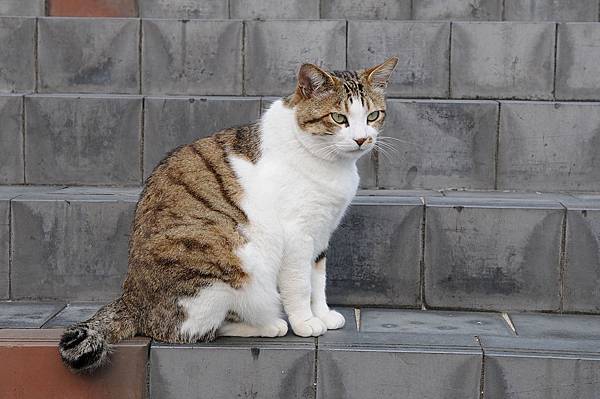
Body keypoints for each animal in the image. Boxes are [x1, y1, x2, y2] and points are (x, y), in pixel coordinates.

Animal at [59, 57, 398, 374]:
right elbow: (301, 284)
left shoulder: (321, 233)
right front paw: (306, 322)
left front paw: (323, 314)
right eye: (339, 118)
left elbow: (319, 280)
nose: (362, 139)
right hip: (226, 263)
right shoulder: (297, 234)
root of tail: (132, 301)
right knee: (195, 330)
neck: (328, 162)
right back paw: (271, 324)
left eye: (372, 116)